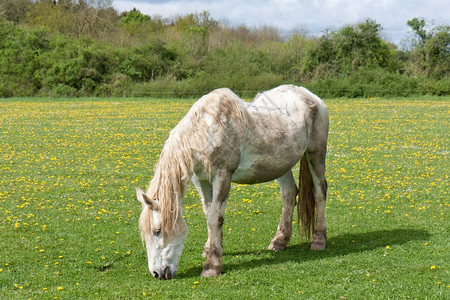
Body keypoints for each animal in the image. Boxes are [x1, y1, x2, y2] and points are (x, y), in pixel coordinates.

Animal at [135, 84, 328, 278]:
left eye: (157, 231)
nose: (158, 273)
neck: (206, 132)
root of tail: (312, 97)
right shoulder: (201, 180)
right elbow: (208, 213)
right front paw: (211, 248)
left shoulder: (222, 176)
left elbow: (215, 218)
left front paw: (212, 266)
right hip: (281, 166)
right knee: (289, 194)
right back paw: (279, 241)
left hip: (315, 154)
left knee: (320, 192)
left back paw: (319, 240)